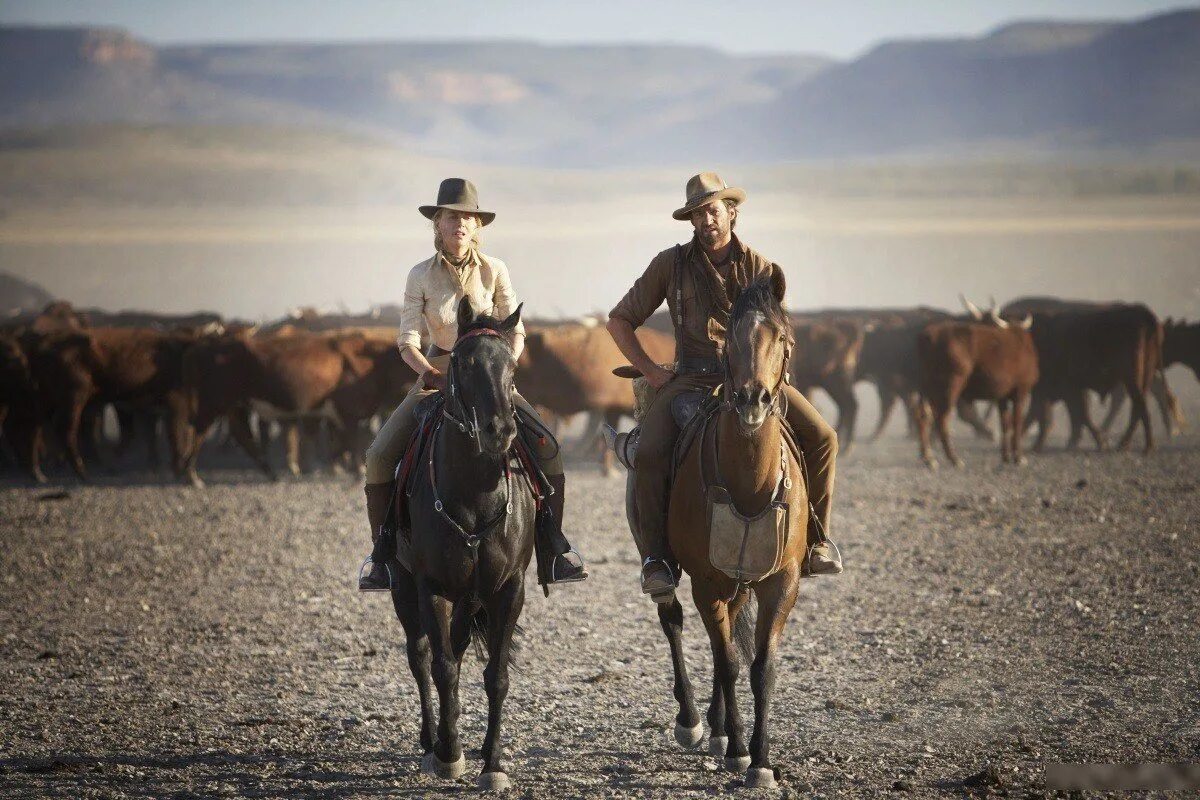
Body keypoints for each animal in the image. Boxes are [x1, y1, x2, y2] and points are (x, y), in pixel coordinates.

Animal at [388, 297, 535, 791]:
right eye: (463, 364)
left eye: (512, 365)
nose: (499, 430)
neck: (474, 493)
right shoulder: (430, 587)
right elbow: (443, 668)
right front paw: (449, 754)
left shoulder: (508, 589)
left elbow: (497, 676)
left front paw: (493, 763)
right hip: (402, 585)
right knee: (421, 655)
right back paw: (429, 742)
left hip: (470, 599)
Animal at [657, 272, 806, 791]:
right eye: (729, 342)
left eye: (781, 339)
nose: (751, 399)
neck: (750, 484)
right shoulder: (707, 582)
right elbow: (726, 661)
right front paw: (741, 751)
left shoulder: (782, 581)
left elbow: (761, 668)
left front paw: (761, 760)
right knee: (672, 619)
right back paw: (694, 724)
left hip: (740, 584)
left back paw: (719, 728)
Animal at [916, 314, 1041, 470]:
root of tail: (929, 335)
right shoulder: (1020, 391)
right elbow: (1016, 423)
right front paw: (1019, 457)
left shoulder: (1002, 397)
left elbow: (1005, 424)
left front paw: (1006, 457)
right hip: (951, 384)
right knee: (942, 419)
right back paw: (954, 459)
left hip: (926, 387)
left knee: (923, 416)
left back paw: (929, 458)